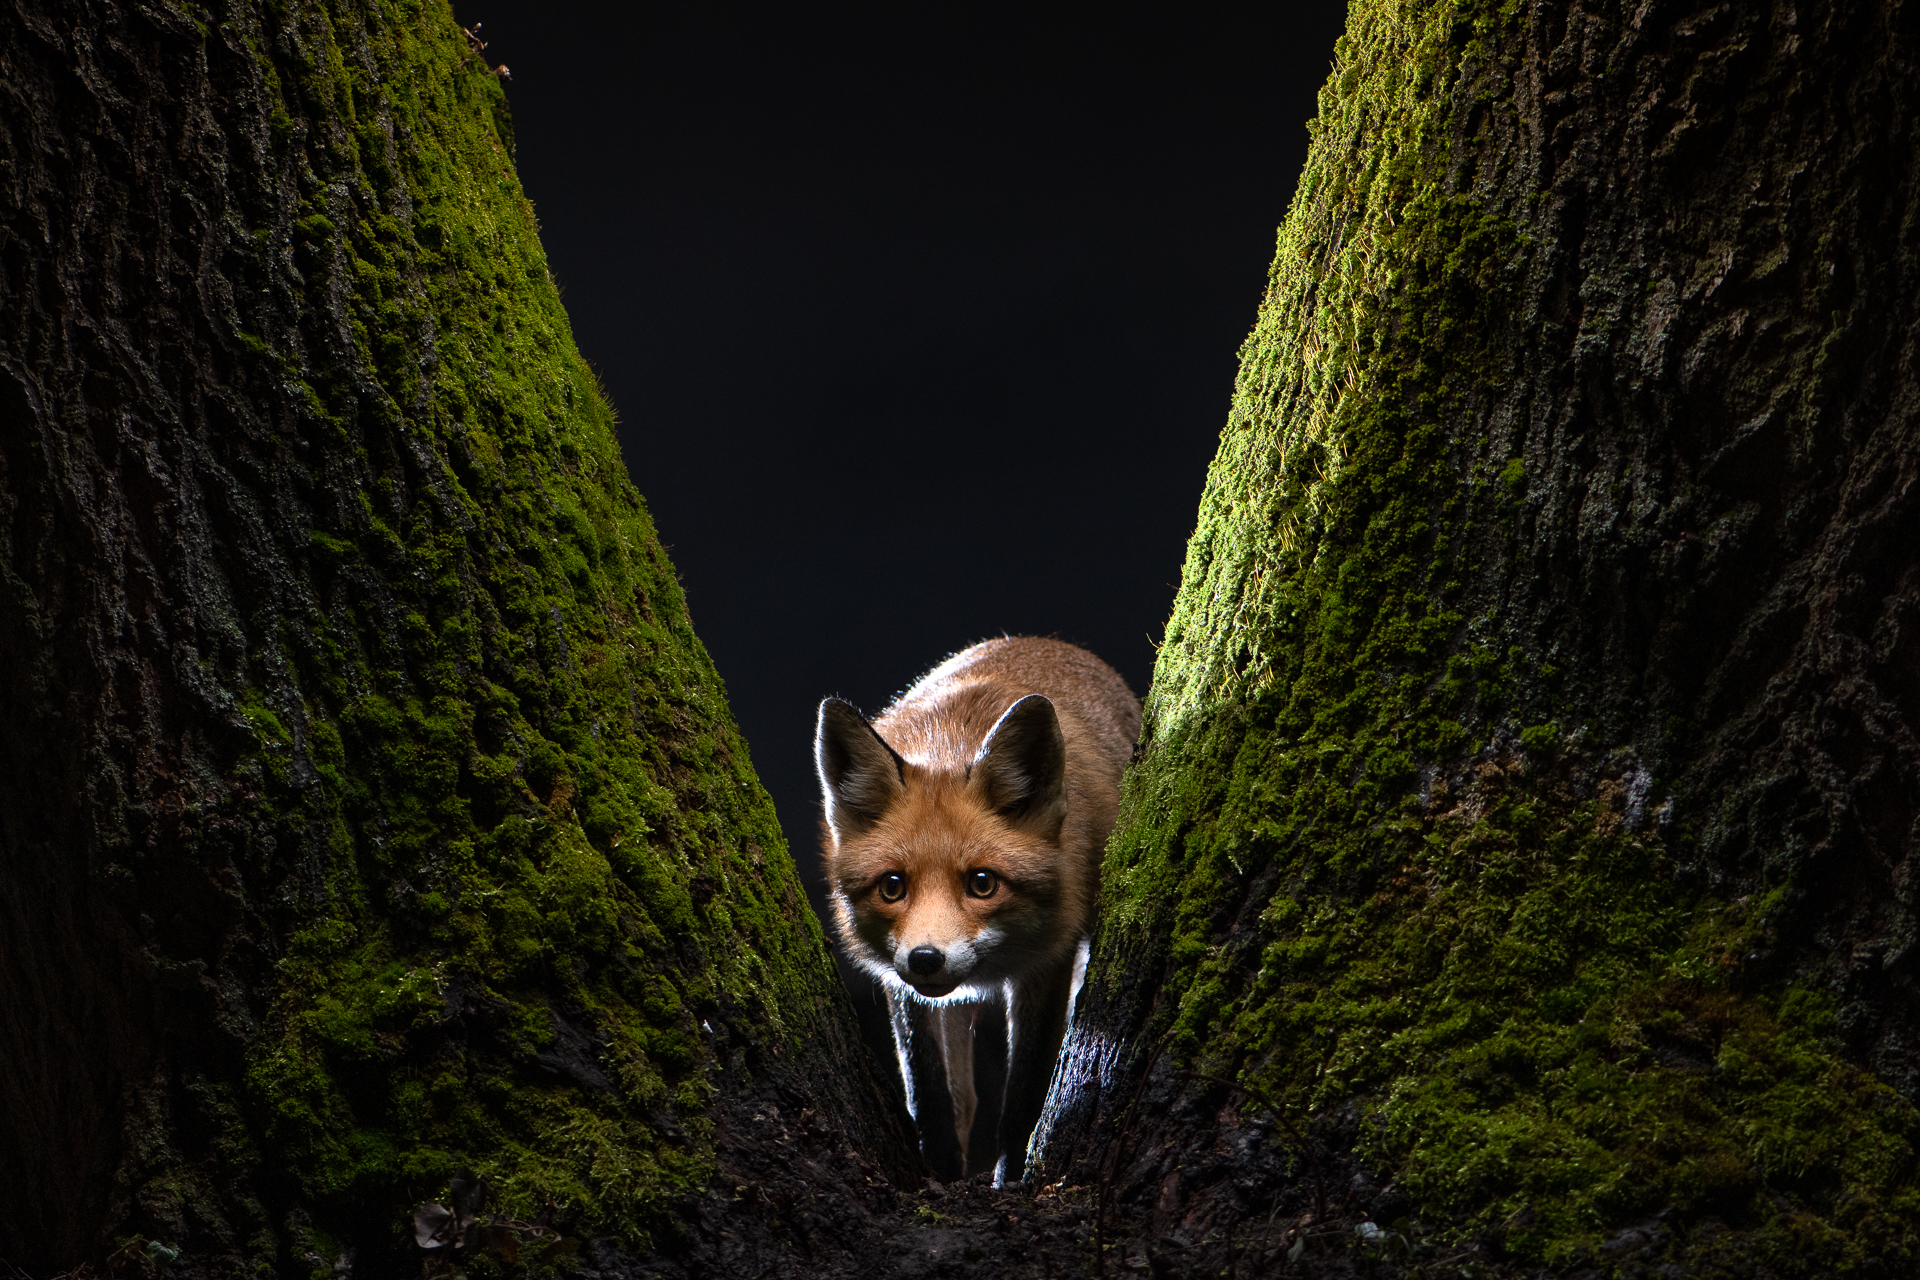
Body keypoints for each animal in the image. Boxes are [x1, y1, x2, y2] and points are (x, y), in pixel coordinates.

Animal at [814, 636, 1140, 1185]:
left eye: (982, 884)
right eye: (892, 887)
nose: (926, 958)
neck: (950, 742)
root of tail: (1045, 640)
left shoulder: (1048, 964)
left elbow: (1024, 1096)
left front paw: (1010, 1179)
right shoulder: (900, 981)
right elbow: (931, 1096)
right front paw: (940, 1174)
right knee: (964, 1097)